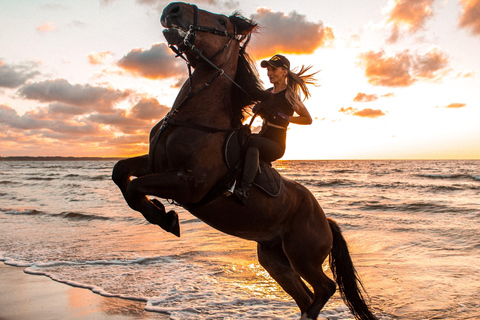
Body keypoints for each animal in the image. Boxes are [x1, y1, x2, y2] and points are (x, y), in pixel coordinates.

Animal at [111, 3, 376, 320]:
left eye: (222, 21)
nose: (173, 9)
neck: (194, 118)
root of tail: (326, 220)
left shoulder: (189, 183)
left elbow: (135, 187)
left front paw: (166, 217)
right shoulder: (158, 166)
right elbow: (120, 173)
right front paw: (160, 212)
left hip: (303, 257)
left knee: (325, 288)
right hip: (274, 259)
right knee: (305, 297)